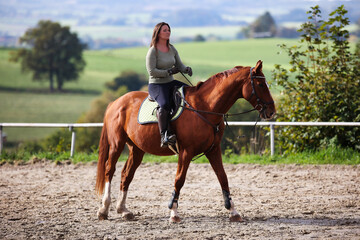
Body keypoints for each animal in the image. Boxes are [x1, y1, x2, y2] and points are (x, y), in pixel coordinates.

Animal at [95, 60, 276, 223]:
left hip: (137, 149)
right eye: (261, 85)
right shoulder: (186, 151)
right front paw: (174, 213)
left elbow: (223, 177)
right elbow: (179, 179)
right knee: (109, 170)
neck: (205, 107)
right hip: (117, 144)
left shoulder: (213, 150)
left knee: (126, 174)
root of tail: (116, 102)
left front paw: (233, 211)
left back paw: (123, 210)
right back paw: (104, 209)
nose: (272, 111)